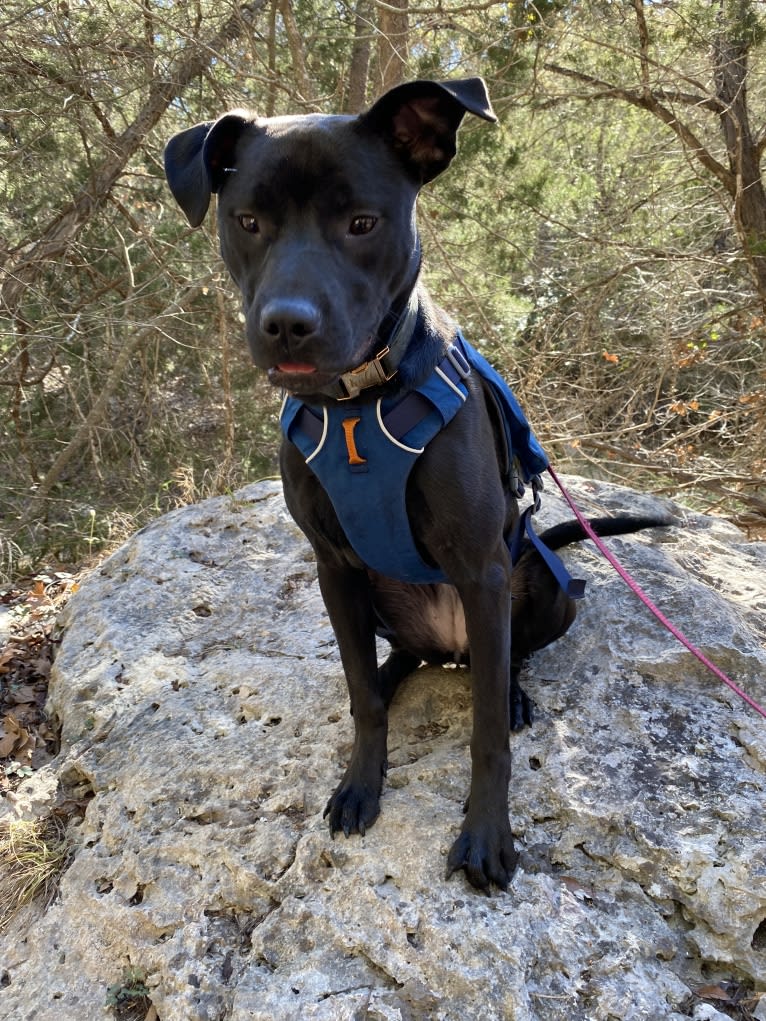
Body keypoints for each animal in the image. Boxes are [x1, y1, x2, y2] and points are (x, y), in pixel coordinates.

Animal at [163, 79, 665, 890]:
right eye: (248, 222)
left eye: (362, 223)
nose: (286, 325)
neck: (359, 403)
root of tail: (450, 647)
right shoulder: (333, 567)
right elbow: (360, 696)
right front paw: (361, 782)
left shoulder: (481, 567)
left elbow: (487, 732)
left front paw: (487, 833)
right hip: (379, 596)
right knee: (395, 660)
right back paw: (397, 669)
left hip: (539, 584)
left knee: (506, 657)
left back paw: (511, 688)